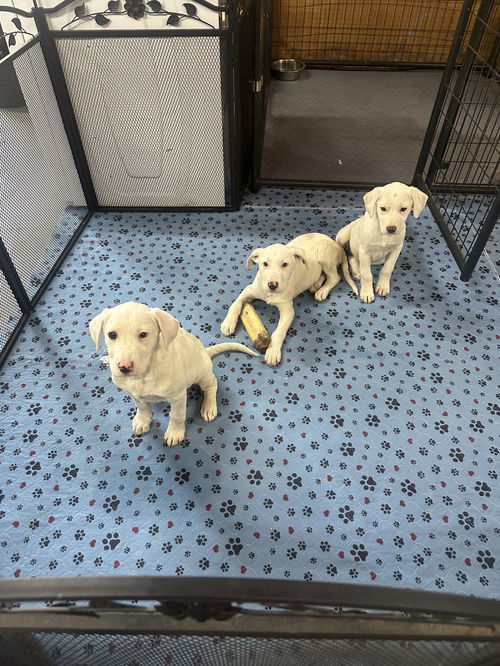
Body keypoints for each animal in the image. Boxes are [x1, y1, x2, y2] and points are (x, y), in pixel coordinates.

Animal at [88, 300, 258, 446]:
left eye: (143, 334)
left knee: (212, 385)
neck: (146, 374)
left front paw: (174, 433)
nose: (124, 367)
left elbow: (176, 415)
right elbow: (142, 406)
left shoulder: (178, 397)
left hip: (203, 374)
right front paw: (142, 421)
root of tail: (205, 350)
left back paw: (209, 407)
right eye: (111, 335)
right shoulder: (133, 393)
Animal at [221, 230, 358, 364]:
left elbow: (279, 332)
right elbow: (235, 304)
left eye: (285, 264)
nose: (272, 285)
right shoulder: (249, 290)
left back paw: (322, 291)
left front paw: (273, 351)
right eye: (265, 264)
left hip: (323, 255)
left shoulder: (288, 311)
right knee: (323, 274)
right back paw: (316, 284)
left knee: (335, 277)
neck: (270, 294)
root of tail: (336, 244)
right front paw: (228, 323)